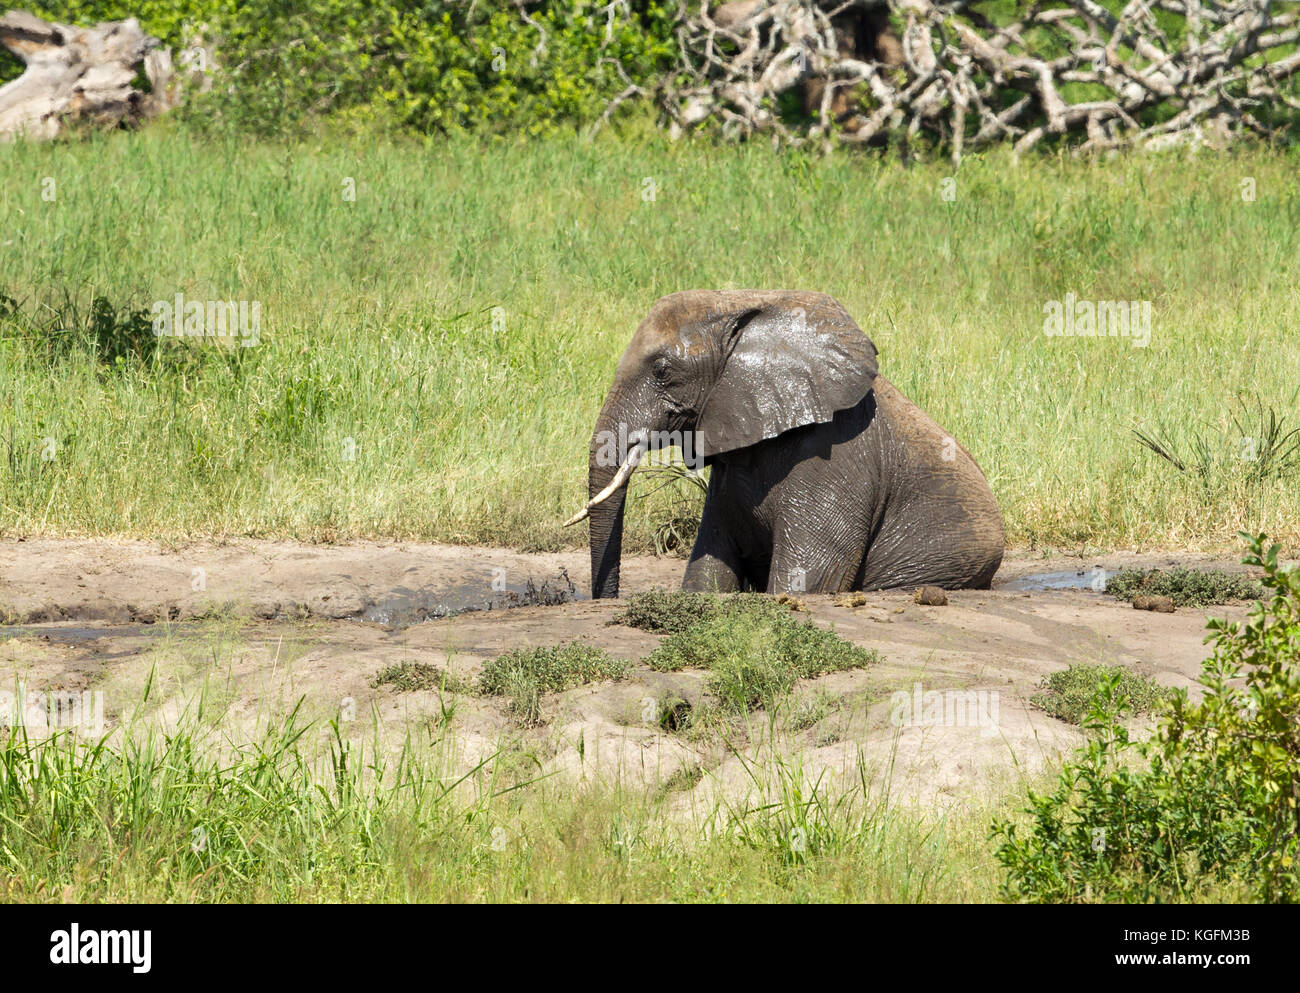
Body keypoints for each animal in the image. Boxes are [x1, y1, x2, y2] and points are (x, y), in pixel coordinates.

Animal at [565, 290, 1005, 599]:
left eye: (661, 370)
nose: (605, 599)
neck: (742, 302)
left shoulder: (834, 457)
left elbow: (806, 581)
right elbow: (707, 573)